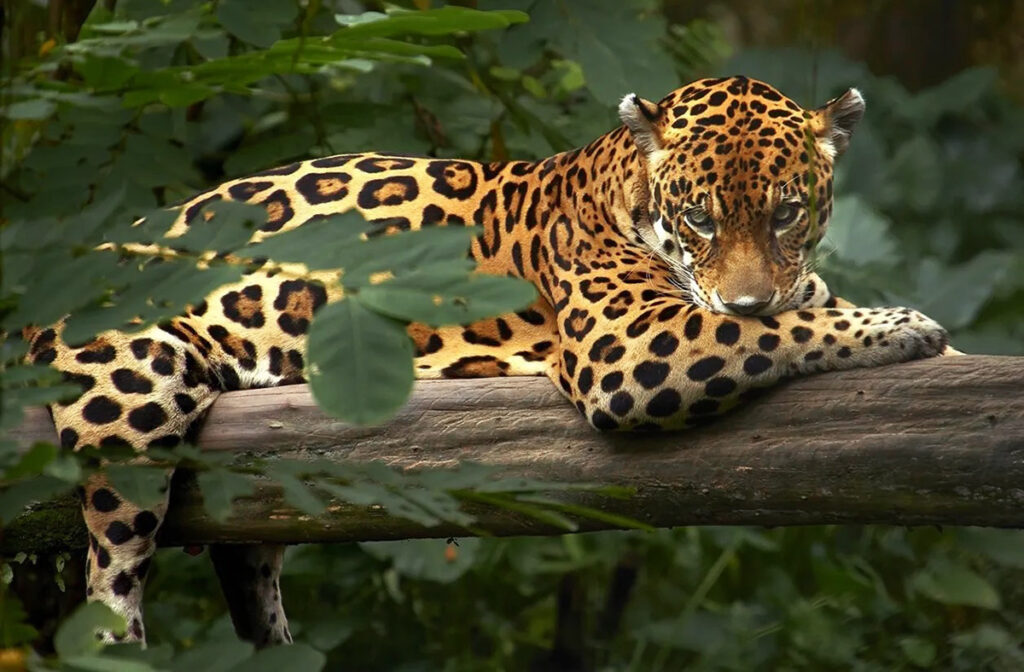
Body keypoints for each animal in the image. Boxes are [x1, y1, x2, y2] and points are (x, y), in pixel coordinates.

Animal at [23, 75, 950, 647]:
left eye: (788, 213)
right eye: (700, 218)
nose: (749, 296)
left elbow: (801, 310)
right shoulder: (632, 344)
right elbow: (774, 334)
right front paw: (903, 324)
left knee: (246, 558)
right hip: (135, 387)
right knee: (112, 572)